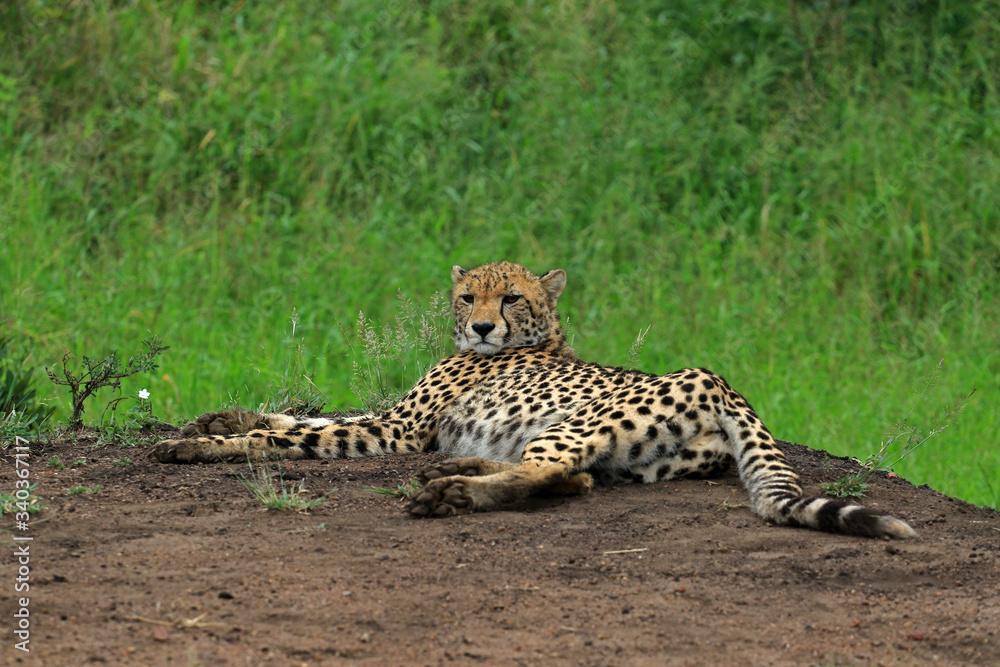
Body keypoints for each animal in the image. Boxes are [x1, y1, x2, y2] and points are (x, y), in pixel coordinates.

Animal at [152, 261, 916, 539]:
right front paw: (219, 415)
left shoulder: (395, 432)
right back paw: (457, 472)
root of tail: (717, 378)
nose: (483, 327)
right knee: (572, 479)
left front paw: (195, 443)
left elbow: (293, 434)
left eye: (512, 297)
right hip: (632, 458)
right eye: (469, 296)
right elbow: (305, 414)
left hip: (575, 422)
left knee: (553, 471)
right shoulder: (391, 425)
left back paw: (450, 492)